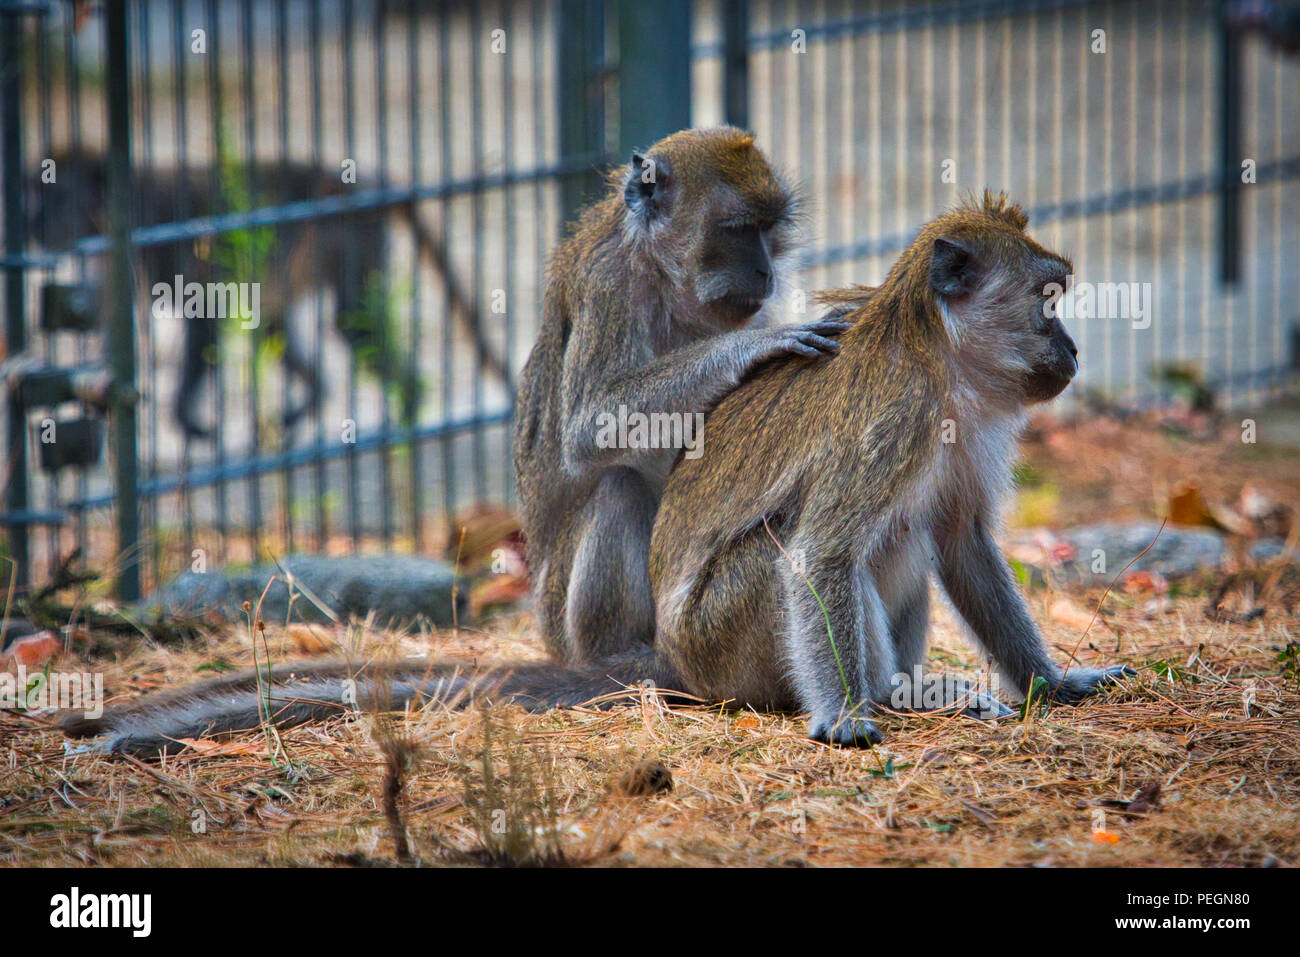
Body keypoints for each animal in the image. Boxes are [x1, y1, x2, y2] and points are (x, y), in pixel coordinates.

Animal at [28, 151, 510, 440]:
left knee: (351, 324)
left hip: (353, 245)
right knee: (280, 334)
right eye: (33, 194)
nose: (34, 221)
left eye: (55, 197)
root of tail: (370, 186)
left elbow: (202, 321)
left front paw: (188, 422)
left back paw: (405, 416)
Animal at [59, 191, 1133, 759]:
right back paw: (890, 697)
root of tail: (681, 665)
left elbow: (963, 544)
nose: (1073, 347)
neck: (940, 359)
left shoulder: (969, 426)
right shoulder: (898, 416)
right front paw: (845, 715)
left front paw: (1056, 680)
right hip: (727, 645)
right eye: (1046, 299)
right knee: (817, 551)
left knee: (904, 540)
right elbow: (820, 555)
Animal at [513, 126, 851, 666]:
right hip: (555, 618)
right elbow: (588, 424)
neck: (661, 277)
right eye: (737, 229)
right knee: (617, 489)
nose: (766, 272)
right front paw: (749, 347)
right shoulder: (608, 283)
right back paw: (619, 657)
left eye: (769, 229)